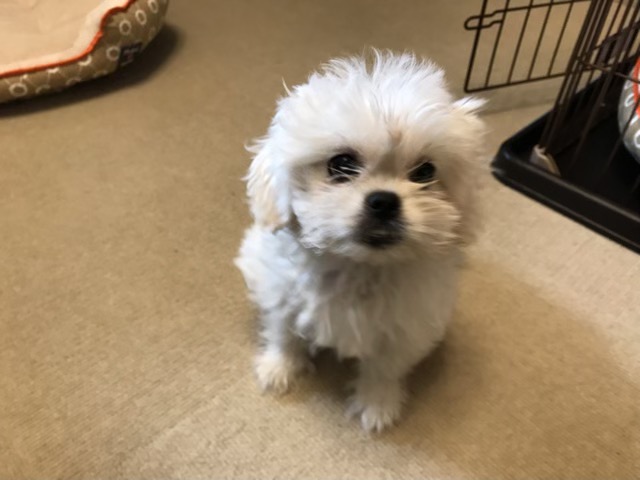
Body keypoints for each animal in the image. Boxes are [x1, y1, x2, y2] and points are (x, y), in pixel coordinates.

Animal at [235, 50, 485, 432]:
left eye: (425, 172)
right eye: (341, 164)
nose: (384, 201)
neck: (359, 268)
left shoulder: (406, 329)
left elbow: (383, 369)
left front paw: (376, 404)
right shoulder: (281, 294)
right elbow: (284, 333)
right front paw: (278, 369)